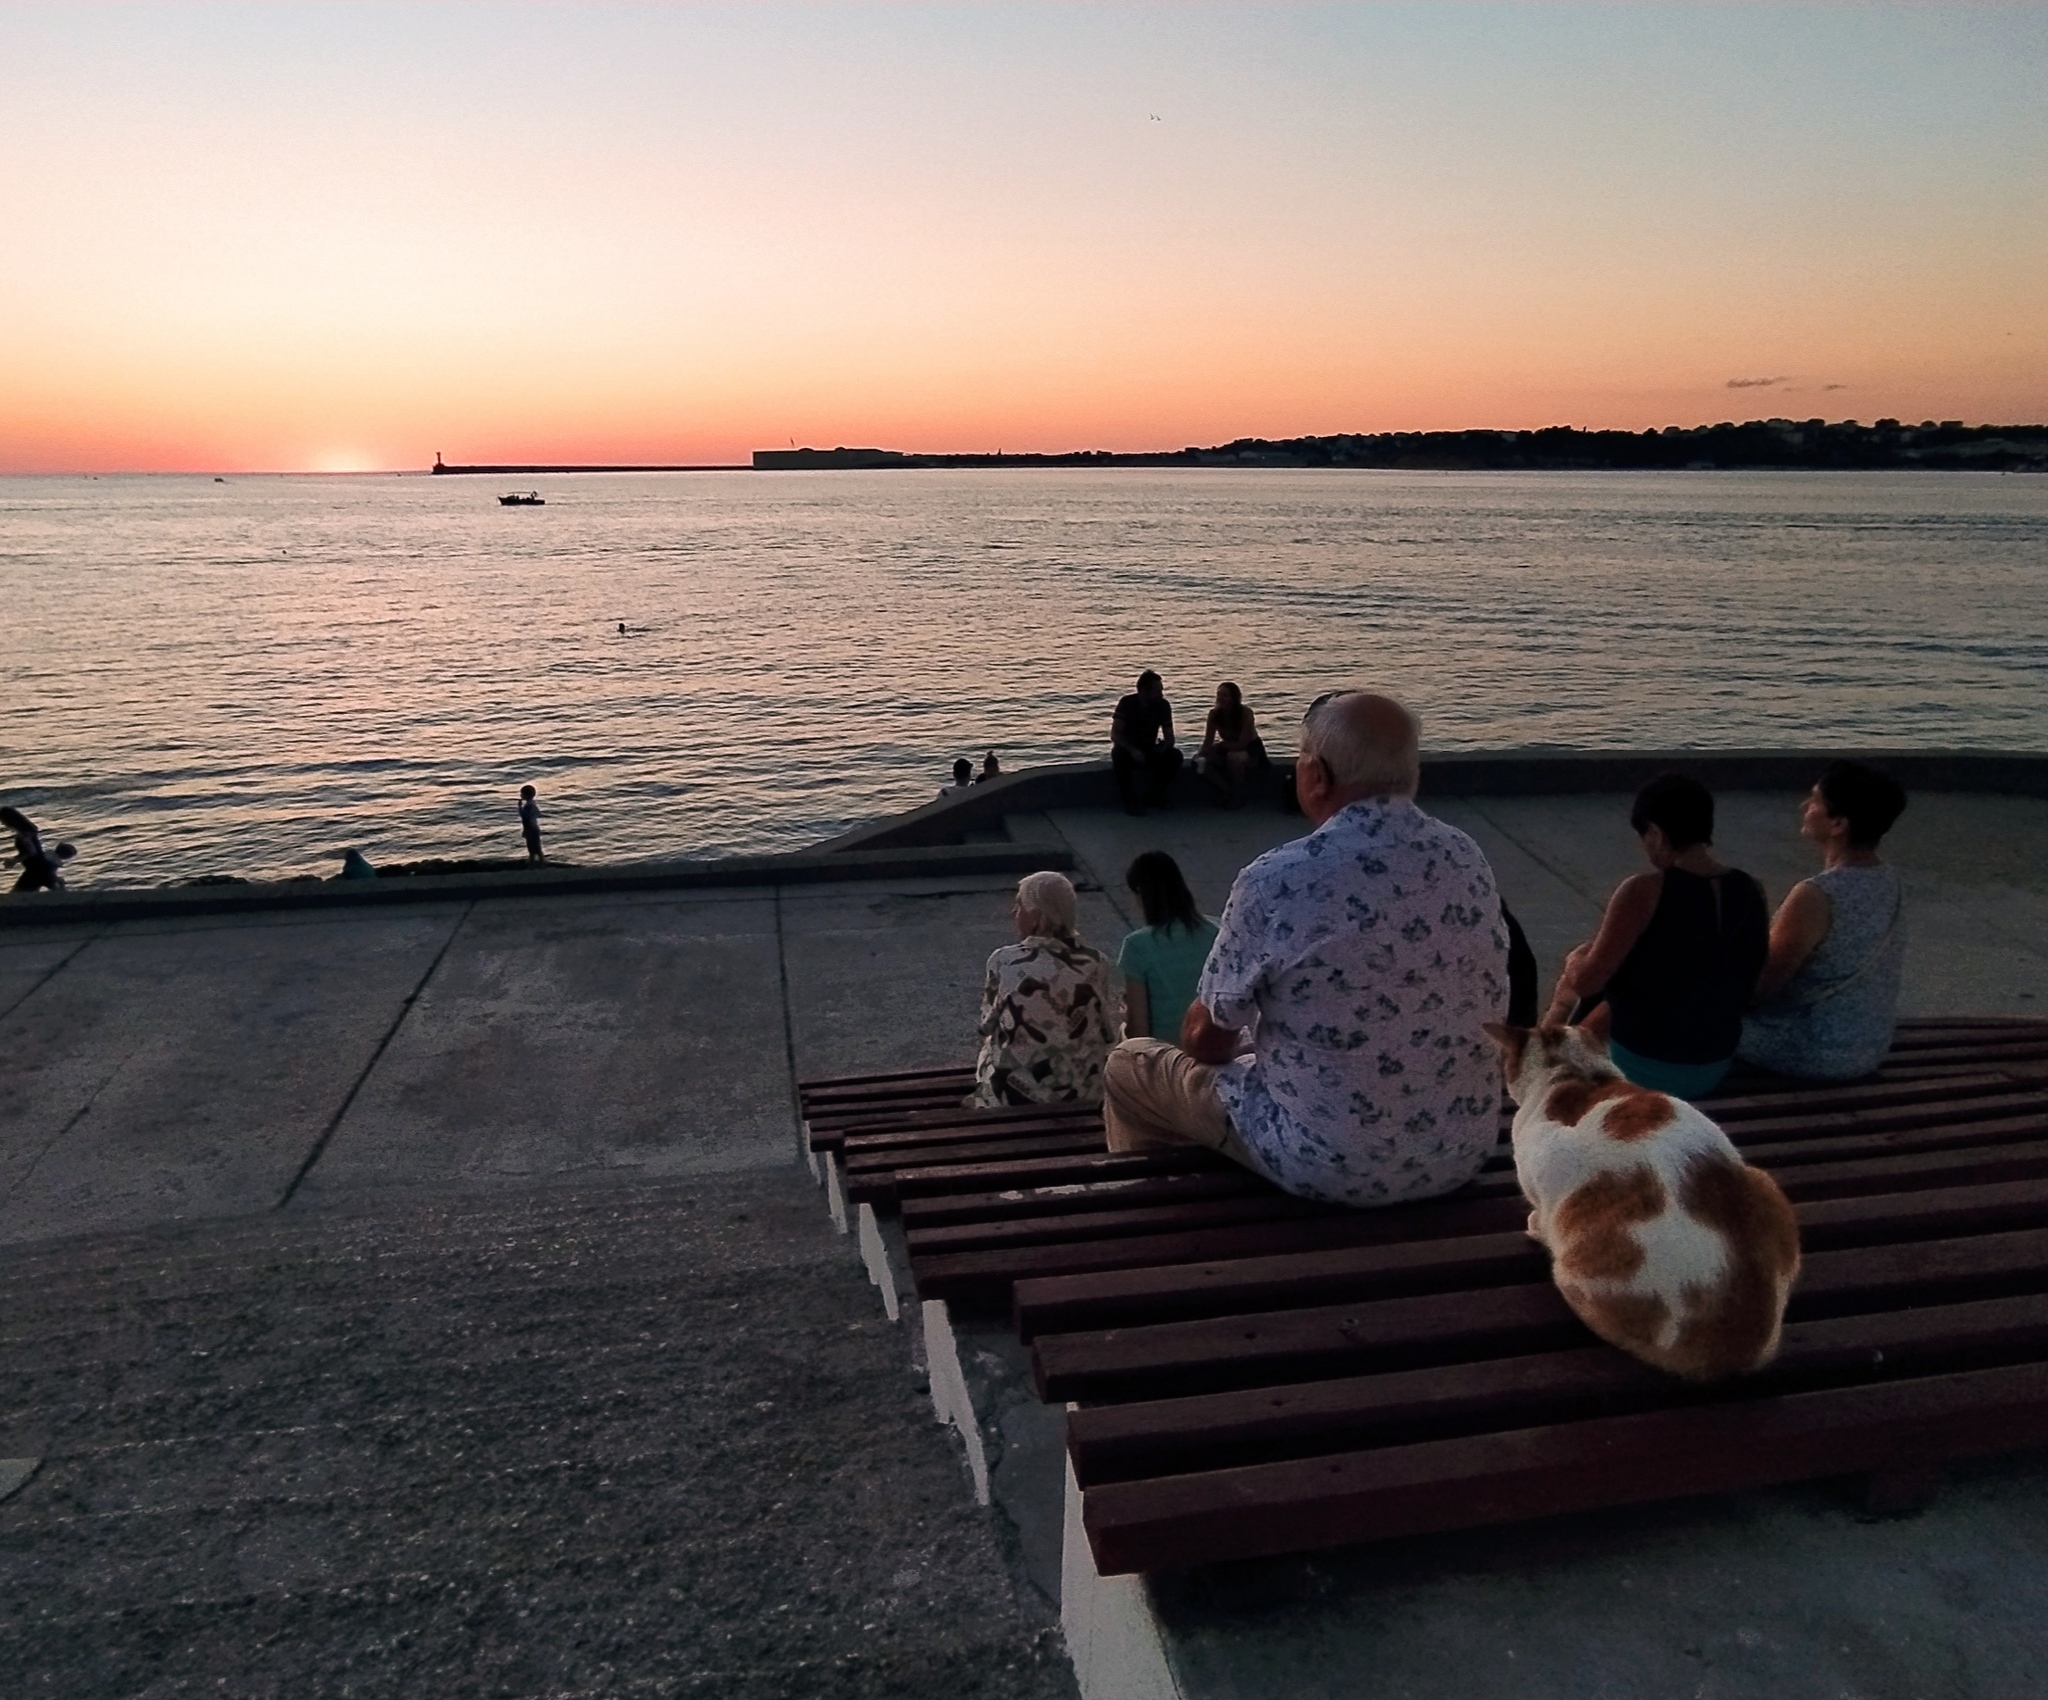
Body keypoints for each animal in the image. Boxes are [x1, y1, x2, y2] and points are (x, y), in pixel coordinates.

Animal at [1490, 1011, 1794, 1384]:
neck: (1575, 1075)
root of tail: (1736, 1351)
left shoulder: (1546, 1169)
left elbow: (1541, 1214)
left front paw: (1534, 1226)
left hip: (1572, 1271)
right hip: (1764, 1181)